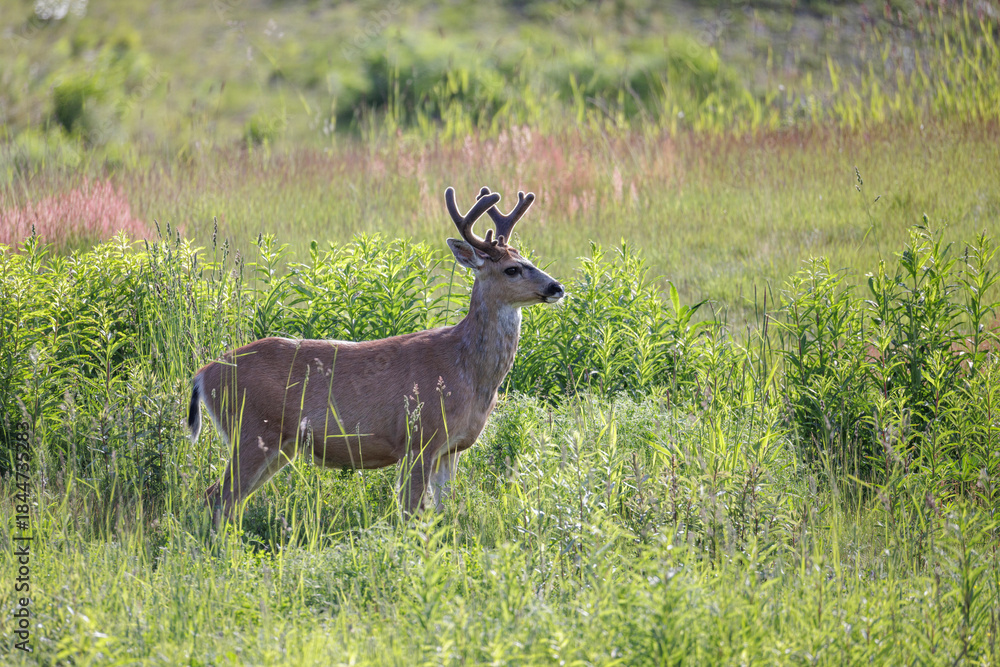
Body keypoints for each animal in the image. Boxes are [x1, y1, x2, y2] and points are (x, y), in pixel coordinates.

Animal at [188, 186, 565, 527]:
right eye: (512, 269)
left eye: (530, 260)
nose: (556, 287)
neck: (467, 371)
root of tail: (203, 374)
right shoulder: (419, 437)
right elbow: (412, 512)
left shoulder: (452, 448)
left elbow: (443, 512)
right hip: (252, 430)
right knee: (217, 496)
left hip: (279, 445)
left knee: (225, 498)